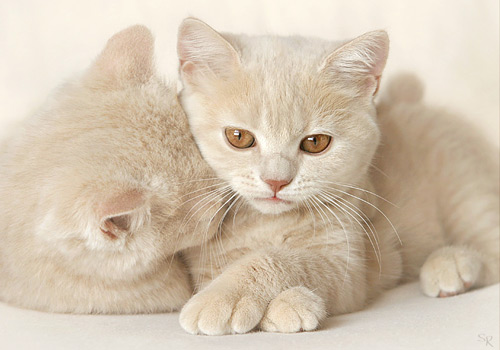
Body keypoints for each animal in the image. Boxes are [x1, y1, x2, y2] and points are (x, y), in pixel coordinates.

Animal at [174, 17, 498, 334]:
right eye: (238, 137)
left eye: (315, 143)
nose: (276, 181)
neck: (268, 224)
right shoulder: (204, 264)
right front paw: (281, 305)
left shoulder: (348, 270)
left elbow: (281, 258)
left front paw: (225, 298)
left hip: (464, 188)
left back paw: (452, 264)